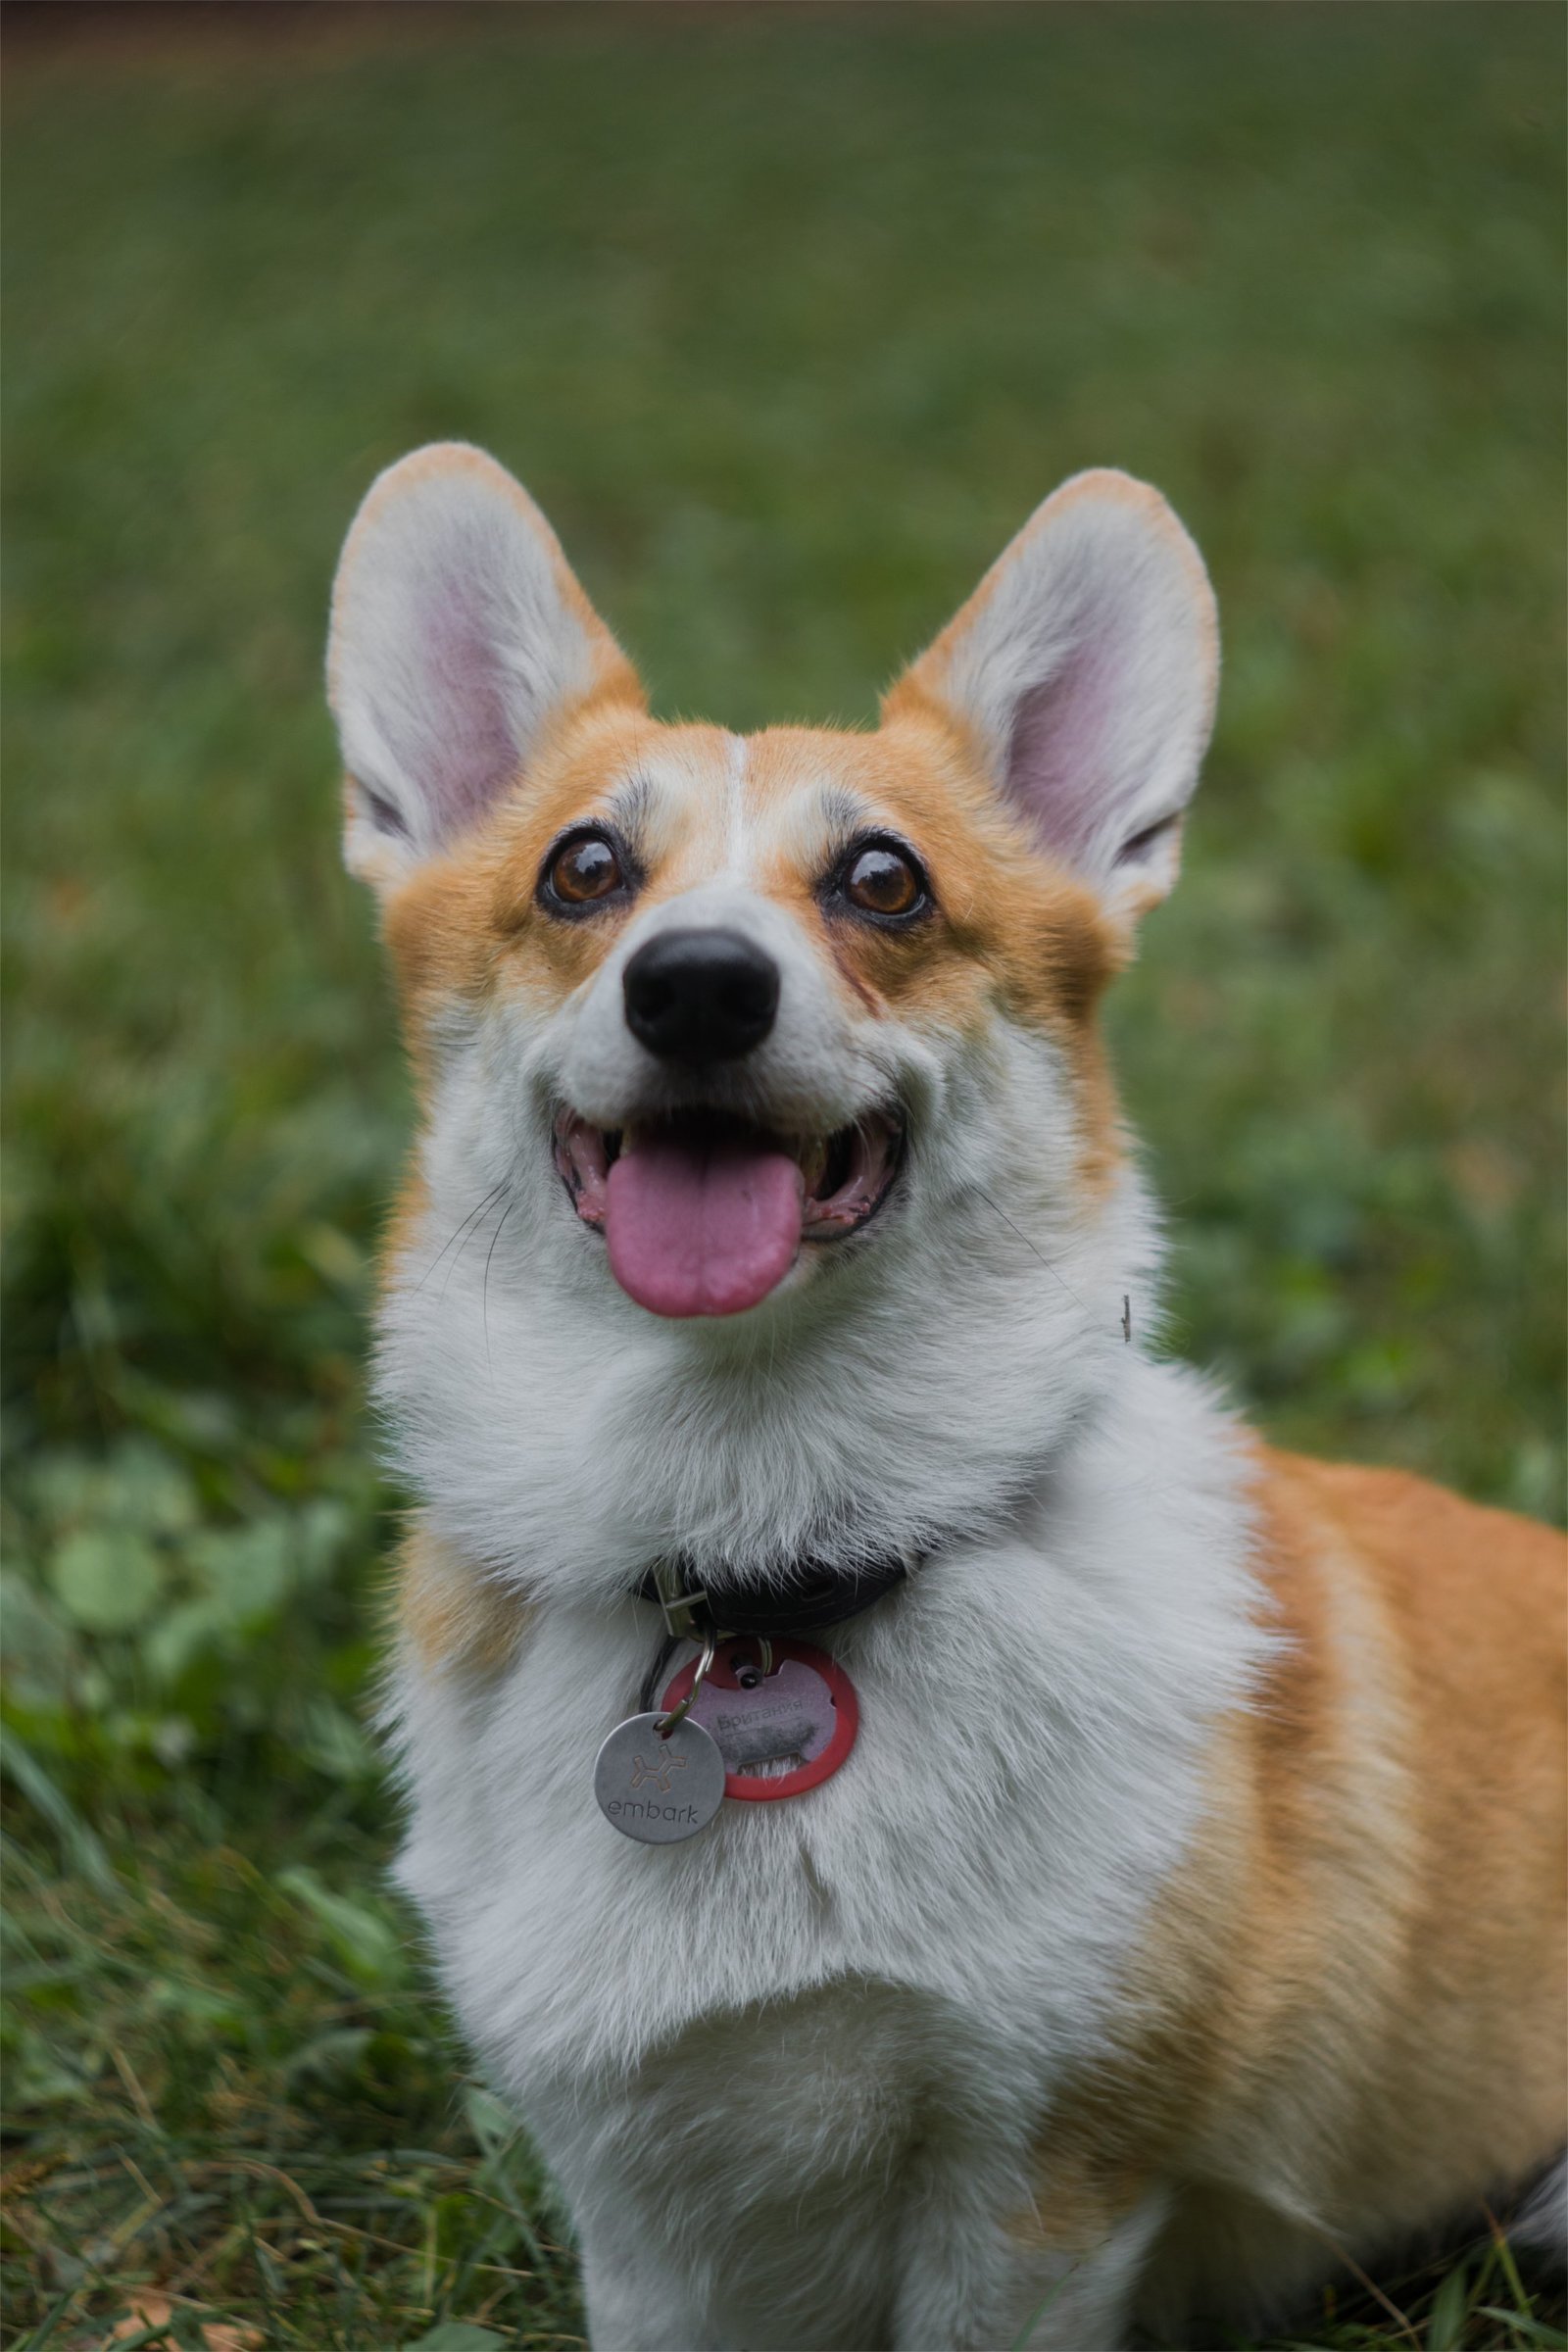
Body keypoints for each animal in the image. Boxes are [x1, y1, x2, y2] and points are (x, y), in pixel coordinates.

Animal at [324, 444, 1560, 2352]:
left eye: (884, 883)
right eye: (584, 868)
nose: (697, 985)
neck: (760, 1573)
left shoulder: (1044, 2184)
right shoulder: (646, 2214)